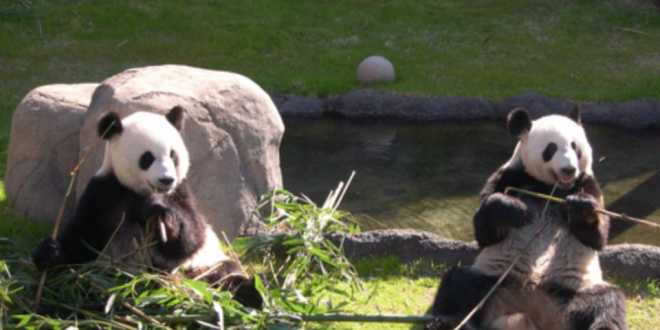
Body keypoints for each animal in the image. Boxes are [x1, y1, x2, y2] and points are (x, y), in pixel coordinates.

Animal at [32, 106, 262, 310]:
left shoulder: (182, 191)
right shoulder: (104, 192)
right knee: (90, 281)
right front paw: (50, 252)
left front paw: (162, 213)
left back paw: (251, 293)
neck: (140, 193)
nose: (166, 180)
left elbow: (192, 236)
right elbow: (82, 240)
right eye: (147, 157)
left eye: (173, 155)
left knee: (225, 272)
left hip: (202, 265)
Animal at [426, 107, 628, 328]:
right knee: (457, 283)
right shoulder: (508, 176)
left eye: (576, 147)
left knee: (608, 302)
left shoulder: (588, 184)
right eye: (551, 148)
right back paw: (445, 322)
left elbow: (597, 237)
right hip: (494, 281)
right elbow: (485, 232)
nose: (569, 169)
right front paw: (516, 210)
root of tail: (531, 306)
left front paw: (581, 207)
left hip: (572, 291)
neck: (550, 187)